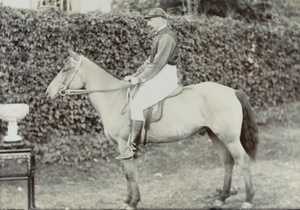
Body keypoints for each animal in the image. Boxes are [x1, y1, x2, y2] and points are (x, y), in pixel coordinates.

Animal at [46, 49, 258, 208]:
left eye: (65, 69)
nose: (48, 92)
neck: (114, 97)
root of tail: (232, 91)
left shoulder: (124, 145)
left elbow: (130, 174)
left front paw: (132, 203)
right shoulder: (127, 148)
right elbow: (130, 173)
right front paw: (130, 200)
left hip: (229, 138)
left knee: (243, 161)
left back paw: (248, 199)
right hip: (215, 136)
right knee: (228, 162)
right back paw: (221, 198)